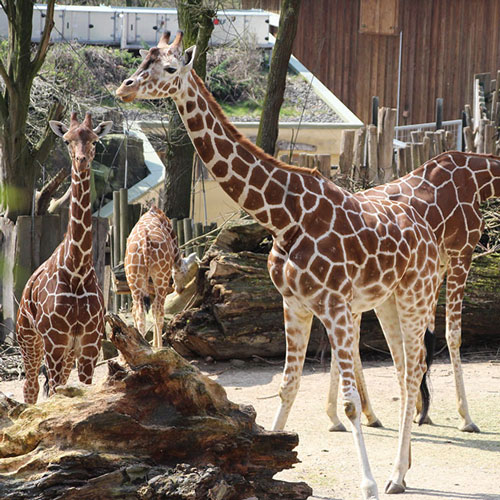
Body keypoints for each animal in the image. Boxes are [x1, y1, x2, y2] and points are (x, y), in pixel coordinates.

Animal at [16, 112, 113, 402]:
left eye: (94, 140)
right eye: (67, 140)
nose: (81, 160)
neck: (77, 270)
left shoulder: (89, 343)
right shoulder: (55, 341)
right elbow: (55, 391)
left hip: (67, 350)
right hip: (29, 339)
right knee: (31, 389)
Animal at [124, 205, 196, 350]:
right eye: (184, 273)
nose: (179, 289)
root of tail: (145, 244)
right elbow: (156, 310)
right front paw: (157, 347)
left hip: (133, 279)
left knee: (138, 312)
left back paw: (140, 346)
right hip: (161, 278)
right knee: (158, 311)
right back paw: (158, 347)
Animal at [326, 151, 500, 434]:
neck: (480, 180)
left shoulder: (438, 264)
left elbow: (427, 336)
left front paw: (422, 409)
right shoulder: (461, 252)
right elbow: (452, 335)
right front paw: (465, 417)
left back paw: (356, 415)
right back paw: (349, 414)